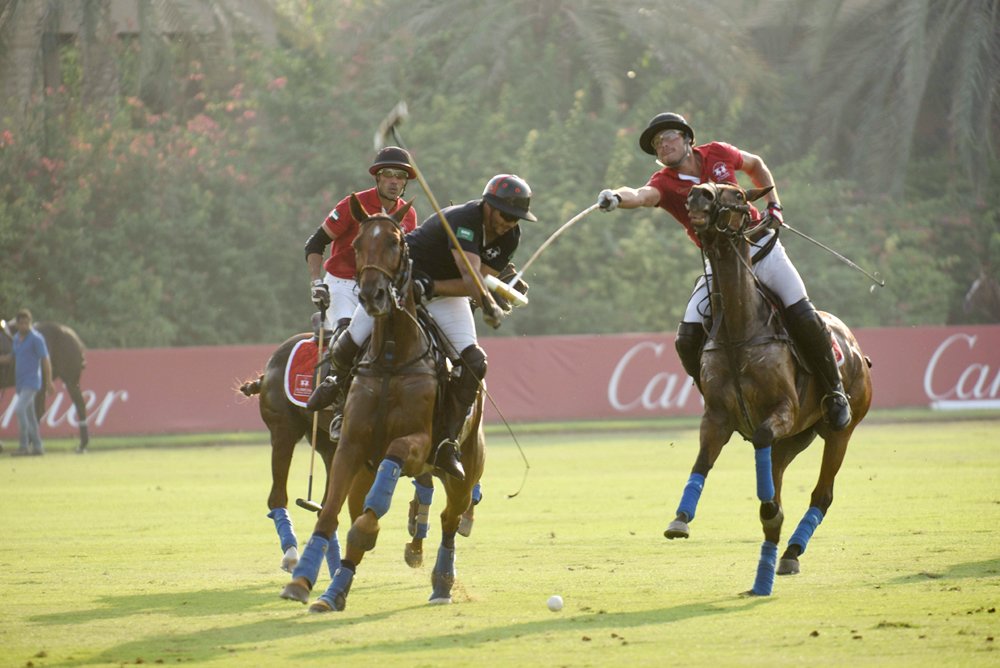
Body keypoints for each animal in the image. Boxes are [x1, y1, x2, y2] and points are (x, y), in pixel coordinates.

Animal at [278, 194, 485, 612]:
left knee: (451, 519)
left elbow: (378, 499)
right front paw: (304, 583)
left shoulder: (417, 444)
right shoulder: (350, 446)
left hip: (465, 466)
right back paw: (335, 587)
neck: (391, 355)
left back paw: (443, 583)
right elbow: (329, 514)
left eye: (395, 242)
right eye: (358, 244)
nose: (372, 295)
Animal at [664, 181, 873, 596]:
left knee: (823, 493)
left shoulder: (784, 409)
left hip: (840, 430)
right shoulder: (717, 416)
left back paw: (791, 551)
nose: (698, 195)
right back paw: (774, 546)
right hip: (793, 439)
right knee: (776, 475)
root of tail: (857, 347)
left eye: (740, 196)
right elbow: (702, 461)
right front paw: (681, 518)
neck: (738, 329)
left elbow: (760, 435)